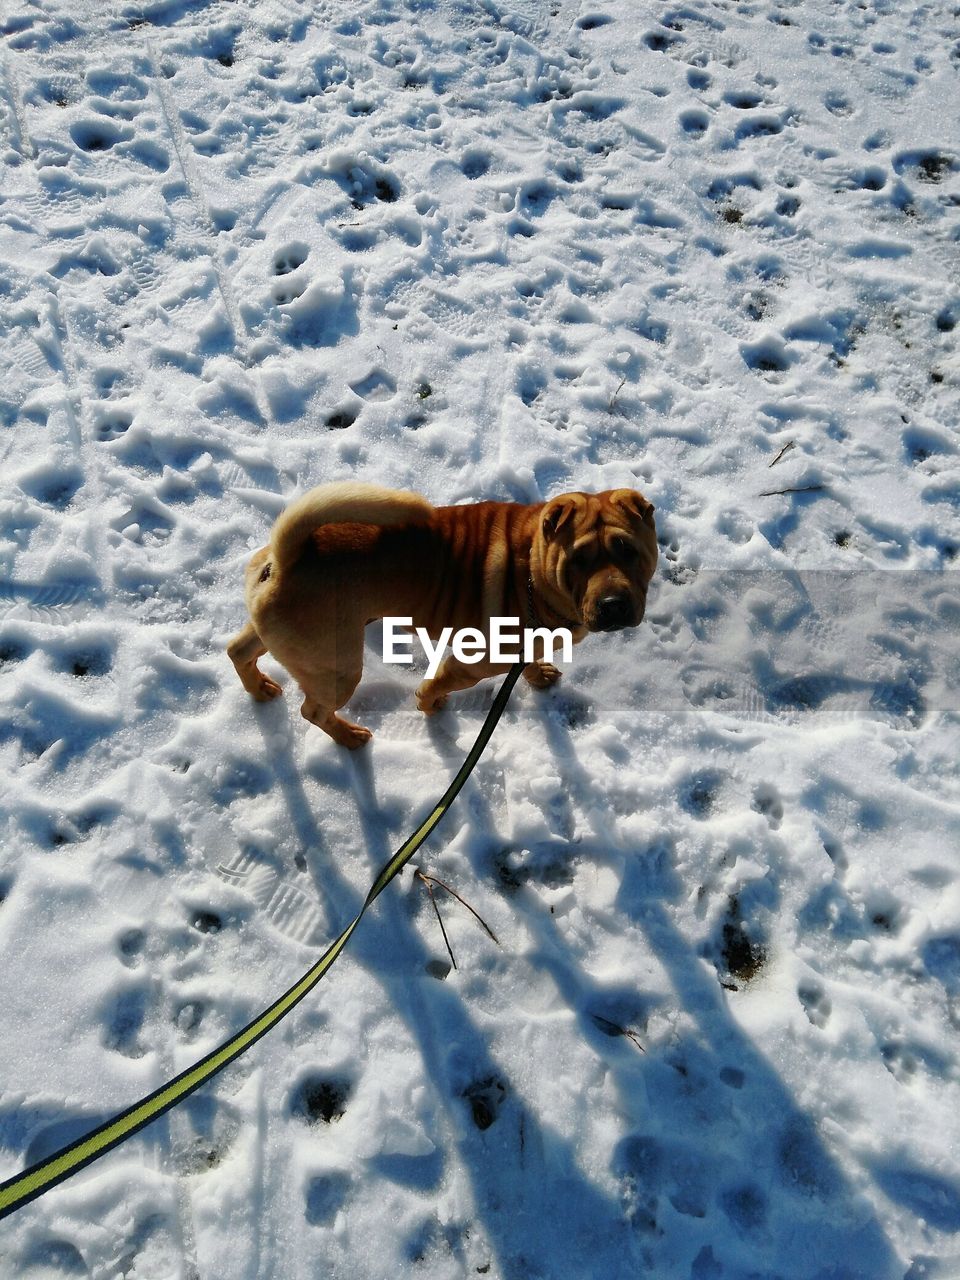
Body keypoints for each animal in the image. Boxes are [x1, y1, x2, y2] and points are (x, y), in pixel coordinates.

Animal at [229, 481, 660, 747]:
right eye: (578, 560)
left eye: (628, 550)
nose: (613, 605)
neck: (533, 568)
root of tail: (286, 559)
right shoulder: (469, 664)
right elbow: (434, 686)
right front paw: (429, 707)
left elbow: (530, 661)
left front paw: (538, 675)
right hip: (337, 668)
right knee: (313, 709)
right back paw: (349, 737)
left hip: (285, 639)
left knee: (238, 649)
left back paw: (259, 688)